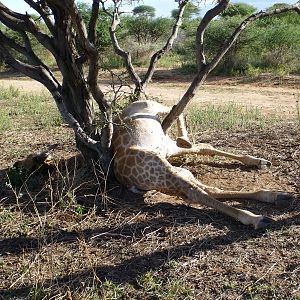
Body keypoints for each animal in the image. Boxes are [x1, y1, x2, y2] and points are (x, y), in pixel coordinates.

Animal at [111, 101, 292, 230]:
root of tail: (127, 181)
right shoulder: (151, 107)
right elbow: (176, 108)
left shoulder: (166, 141)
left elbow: (203, 145)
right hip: (159, 167)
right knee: (196, 192)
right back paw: (256, 218)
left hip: (169, 169)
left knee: (207, 186)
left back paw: (275, 193)